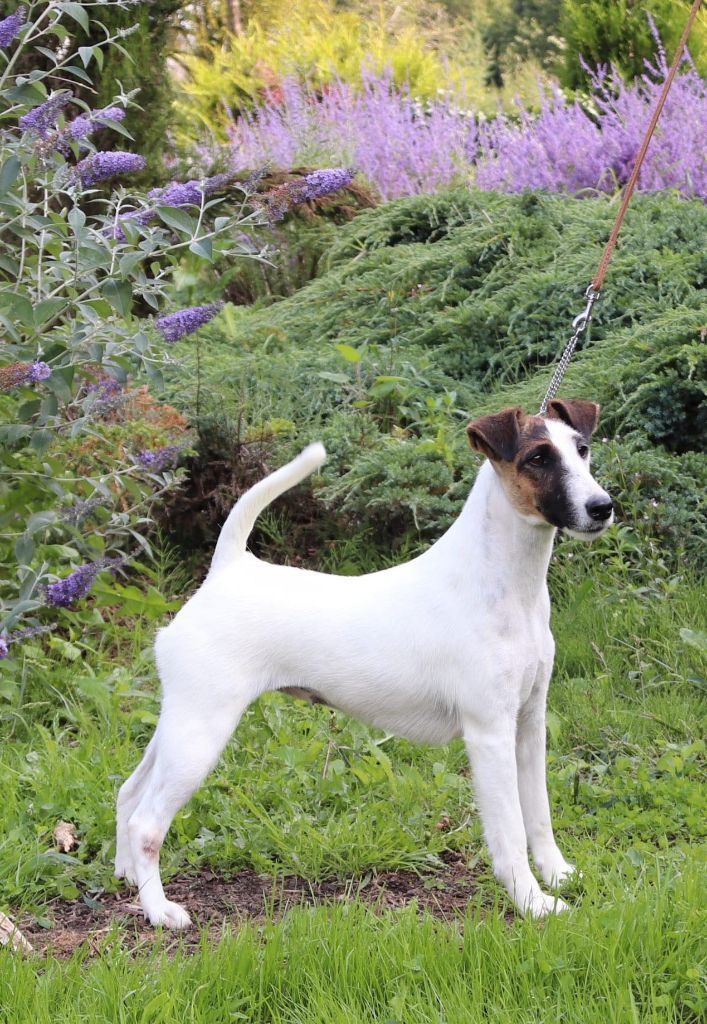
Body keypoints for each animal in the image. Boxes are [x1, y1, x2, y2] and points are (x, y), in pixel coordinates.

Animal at [115, 398, 614, 927]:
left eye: (582, 449)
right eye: (538, 458)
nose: (602, 507)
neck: (502, 585)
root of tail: (226, 571)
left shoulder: (529, 723)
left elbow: (538, 814)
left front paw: (559, 875)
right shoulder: (490, 734)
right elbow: (511, 833)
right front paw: (533, 903)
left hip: (181, 725)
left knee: (129, 792)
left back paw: (125, 875)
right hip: (200, 735)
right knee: (147, 822)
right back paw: (159, 910)